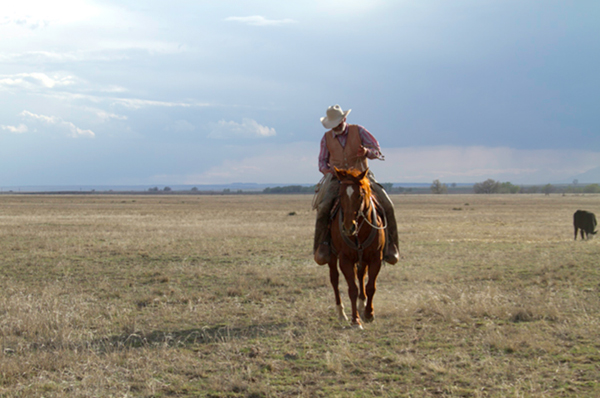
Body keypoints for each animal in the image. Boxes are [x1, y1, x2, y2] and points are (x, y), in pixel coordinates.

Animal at [326, 166, 386, 328]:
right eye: (340, 195)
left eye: (360, 195)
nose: (348, 227)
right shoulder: (345, 259)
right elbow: (352, 289)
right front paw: (355, 320)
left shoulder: (375, 258)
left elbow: (370, 286)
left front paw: (369, 313)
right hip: (333, 257)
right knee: (334, 279)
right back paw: (341, 313)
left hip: (362, 259)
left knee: (360, 275)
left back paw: (362, 304)